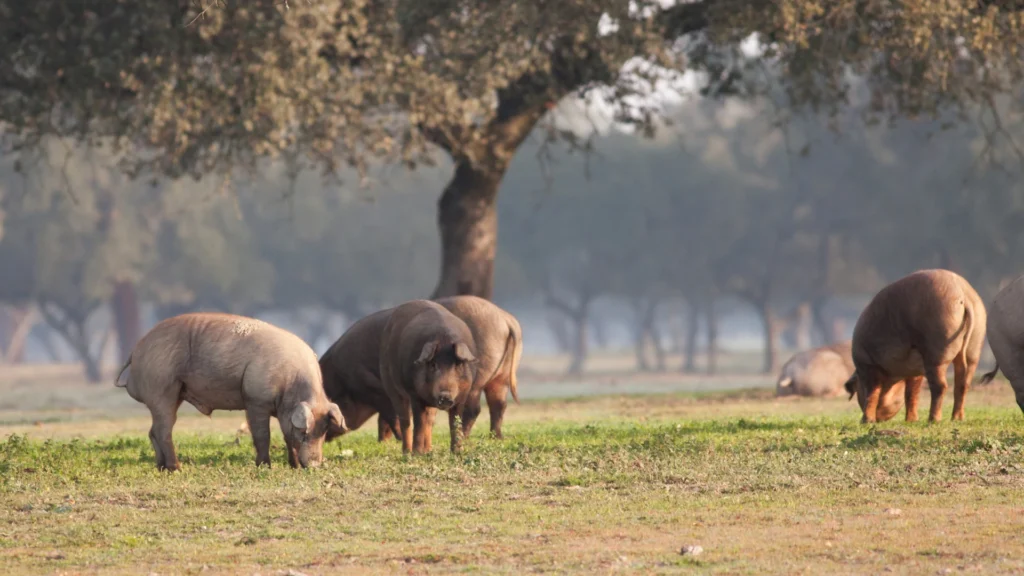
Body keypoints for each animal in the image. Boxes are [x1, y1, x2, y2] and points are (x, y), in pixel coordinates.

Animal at [115, 313, 346, 470]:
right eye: (305, 432)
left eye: (324, 431)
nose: (315, 465)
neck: (290, 383)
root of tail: (136, 350)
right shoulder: (255, 399)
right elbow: (262, 435)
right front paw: (265, 466)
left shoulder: (283, 411)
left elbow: (286, 436)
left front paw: (294, 466)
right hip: (162, 388)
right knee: (163, 430)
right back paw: (176, 468)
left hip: (172, 393)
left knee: (154, 430)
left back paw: (162, 467)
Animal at [379, 299, 478, 454]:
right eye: (433, 364)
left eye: (458, 364)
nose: (445, 396)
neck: (444, 339)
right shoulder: (414, 394)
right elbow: (419, 423)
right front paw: (417, 454)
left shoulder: (462, 396)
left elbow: (455, 424)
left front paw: (457, 452)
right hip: (391, 387)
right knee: (405, 420)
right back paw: (408, 453)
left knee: (430, 421)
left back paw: (429, 451)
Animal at [842, 269, 987, 423]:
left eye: (858, 389)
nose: (880, 419)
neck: (894, 377)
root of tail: (963, 295)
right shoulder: (916, 371)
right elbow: (912, 393)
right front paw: (912, 420)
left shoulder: (867, 363)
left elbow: (872, 393)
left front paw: (866, 422)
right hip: (975, 340)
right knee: (963, 383)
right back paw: (956, 418)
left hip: (937, 346)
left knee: (940, 385)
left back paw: (933, 420)